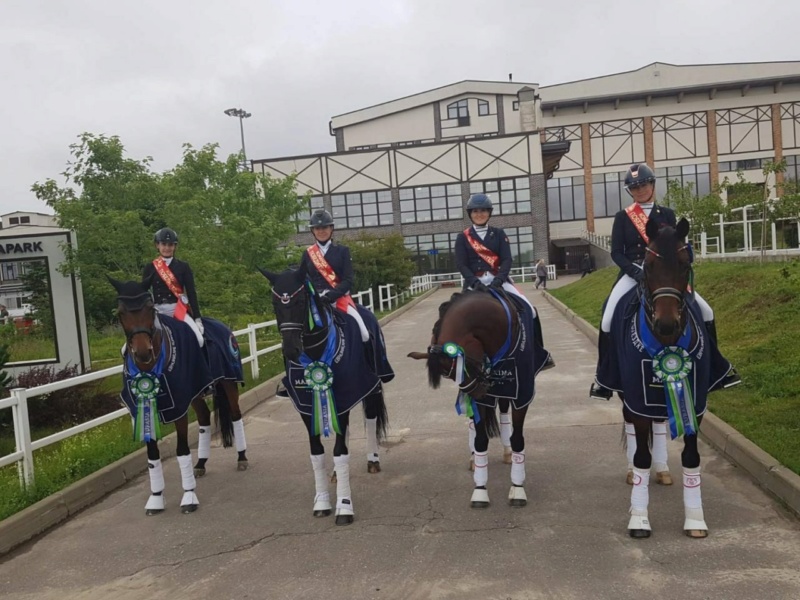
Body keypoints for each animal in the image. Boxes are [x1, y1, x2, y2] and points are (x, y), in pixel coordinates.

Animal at [108, 278, 248, 516]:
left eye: (150, 309)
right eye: (120, 313)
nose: (143, 352)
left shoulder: (178, 407)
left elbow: (181, 450)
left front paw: (189, 496)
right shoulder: (148, 409)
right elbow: (152, 455)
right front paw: (156, 498)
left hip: (229, 383)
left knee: (236, 415)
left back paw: (242, 458)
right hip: (195, 394)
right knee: (203, 417)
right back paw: (200, 464)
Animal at [258, 268, 392, 524]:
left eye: (300, 302)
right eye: (274, 304)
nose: (291, 350)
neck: (315, 350)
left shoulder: (345, 396)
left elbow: (340, 452)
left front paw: (344, 506)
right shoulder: (306, 407)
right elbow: (317, 454)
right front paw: (321, 501)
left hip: (371, 389)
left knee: (370, 421)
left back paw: (372, 460)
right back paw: (337, 474)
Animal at [412, 288, 552, 508]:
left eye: (464, 365)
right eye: (450, 376)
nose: (479, 392)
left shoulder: (522, 395)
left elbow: (518, 439)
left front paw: (518, 488)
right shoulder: (481, 402)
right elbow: (480, 440)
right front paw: (479, 490)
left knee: (504, 414)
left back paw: (507, 452)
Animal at [592, 219, 732, 540]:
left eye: (684, 264)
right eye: (649, 264)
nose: (666, 324)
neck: (666, 342)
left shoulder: (695, 401)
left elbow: (691, 458)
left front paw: (695, 520)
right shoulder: (637, 396)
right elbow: (641, 455)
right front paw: (639, 519)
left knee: (657, 425)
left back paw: (663, 469)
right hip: (627, 396)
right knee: (632, 430)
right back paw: (632, 472)